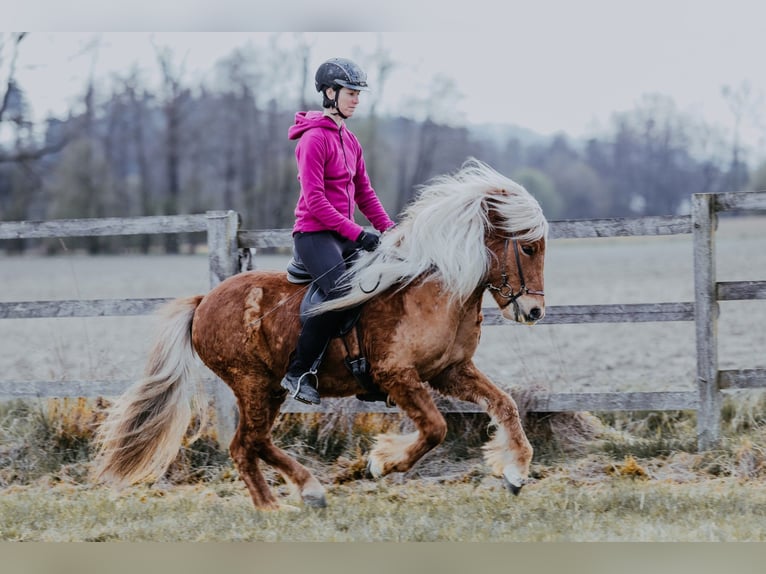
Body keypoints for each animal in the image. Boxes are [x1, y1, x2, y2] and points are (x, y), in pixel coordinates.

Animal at [93, 158, 549, 510]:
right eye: (527, 248)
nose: (534, 311)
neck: (433, 292)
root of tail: (204, 301)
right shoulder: (396, 376)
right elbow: (436, 428)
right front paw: (383, 463)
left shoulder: (449, 371)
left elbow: (504, 404)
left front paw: (515, 473)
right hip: (252, 383)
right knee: (249, 442)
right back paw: (288, 500)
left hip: (268, 389)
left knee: (249, 444)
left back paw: (289, 499)